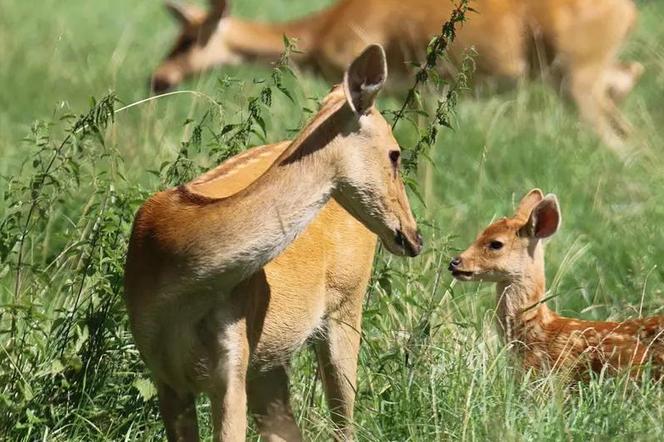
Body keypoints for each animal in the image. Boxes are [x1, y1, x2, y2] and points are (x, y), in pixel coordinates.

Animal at [126, 45, 426, 442]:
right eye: (395, 153)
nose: (414, 237)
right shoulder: (163, 372)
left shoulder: (232, 360)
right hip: (271, 359)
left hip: (346, 304)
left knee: (343, 424)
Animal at [150, 0, 644, 149]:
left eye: (189, 39)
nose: (158, 77)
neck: (325, 28)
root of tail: (630, 11)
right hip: (579, 76)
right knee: (628, 85)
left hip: (578, 77)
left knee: (618, 137)